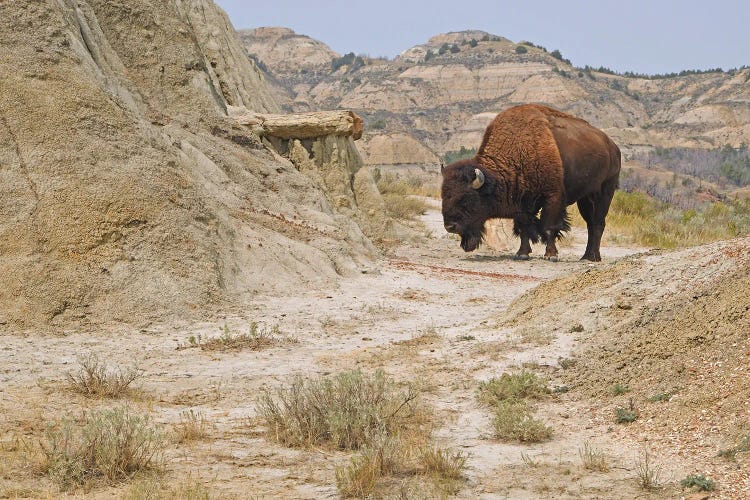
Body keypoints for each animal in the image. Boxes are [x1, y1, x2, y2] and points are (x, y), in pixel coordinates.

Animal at [440, 104, 624, 264]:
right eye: (444, 196)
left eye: (467, 199)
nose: (450, 226)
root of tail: (613, 147)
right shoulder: (523, 203)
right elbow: (524, 227)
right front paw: (522, 253)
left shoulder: (552, 197)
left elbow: (549, 226)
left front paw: (551, 255)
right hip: (584, 199)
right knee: (590, 224)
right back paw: (586, 256)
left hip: (604, 192)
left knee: (598, 223)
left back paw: (592, 257)